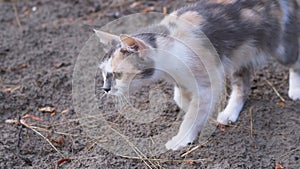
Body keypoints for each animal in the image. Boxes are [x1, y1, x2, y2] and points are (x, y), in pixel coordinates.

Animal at [95, 0, 298, 151]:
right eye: (104, 73)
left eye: (118, 74)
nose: (105, 89)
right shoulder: (182, 80)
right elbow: (182, 99)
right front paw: (199, 111)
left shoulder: (209, 80)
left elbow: (194, 112)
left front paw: (181, 139)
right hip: (241, 56)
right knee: (242, 85)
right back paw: (229, 113)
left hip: (280, 48)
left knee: (295, 62)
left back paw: (295, 90)